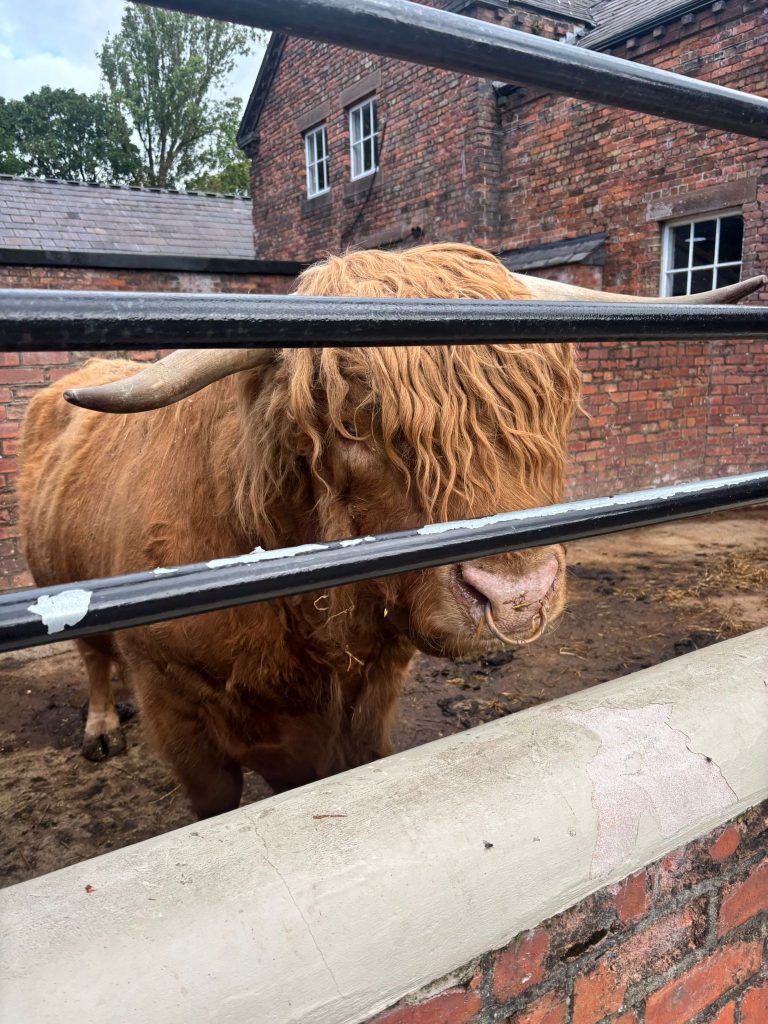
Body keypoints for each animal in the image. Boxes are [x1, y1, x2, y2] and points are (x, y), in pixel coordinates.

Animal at [18, 243, 762, 818]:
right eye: (353, 424)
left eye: (547, 405)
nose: (517, 596)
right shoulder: (177, 707)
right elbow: (213, 801)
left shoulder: (371, 696)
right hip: (54, 575)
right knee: (92, 655)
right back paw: (101, 725)